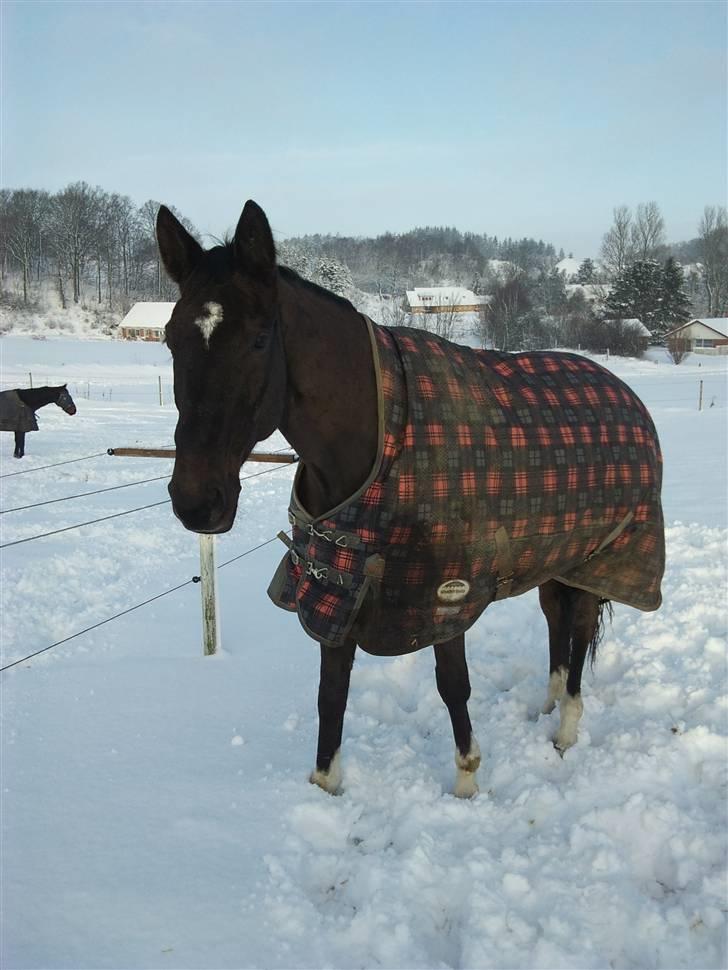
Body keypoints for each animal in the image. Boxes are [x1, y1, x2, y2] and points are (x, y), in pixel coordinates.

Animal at [156, 199, 664, 796]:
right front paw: (326, 784)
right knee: (556, 624)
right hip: (554, 560)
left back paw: (565, 730)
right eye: (170, 338)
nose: (196, 500)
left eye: (259, 339)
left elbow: (453, 685)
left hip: (597, 561)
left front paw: (467, 782)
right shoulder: (336, 587)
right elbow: (332, 694)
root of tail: (625, 393)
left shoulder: (445, 596)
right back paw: (547, 706)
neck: (384, 437)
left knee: (579, 631)